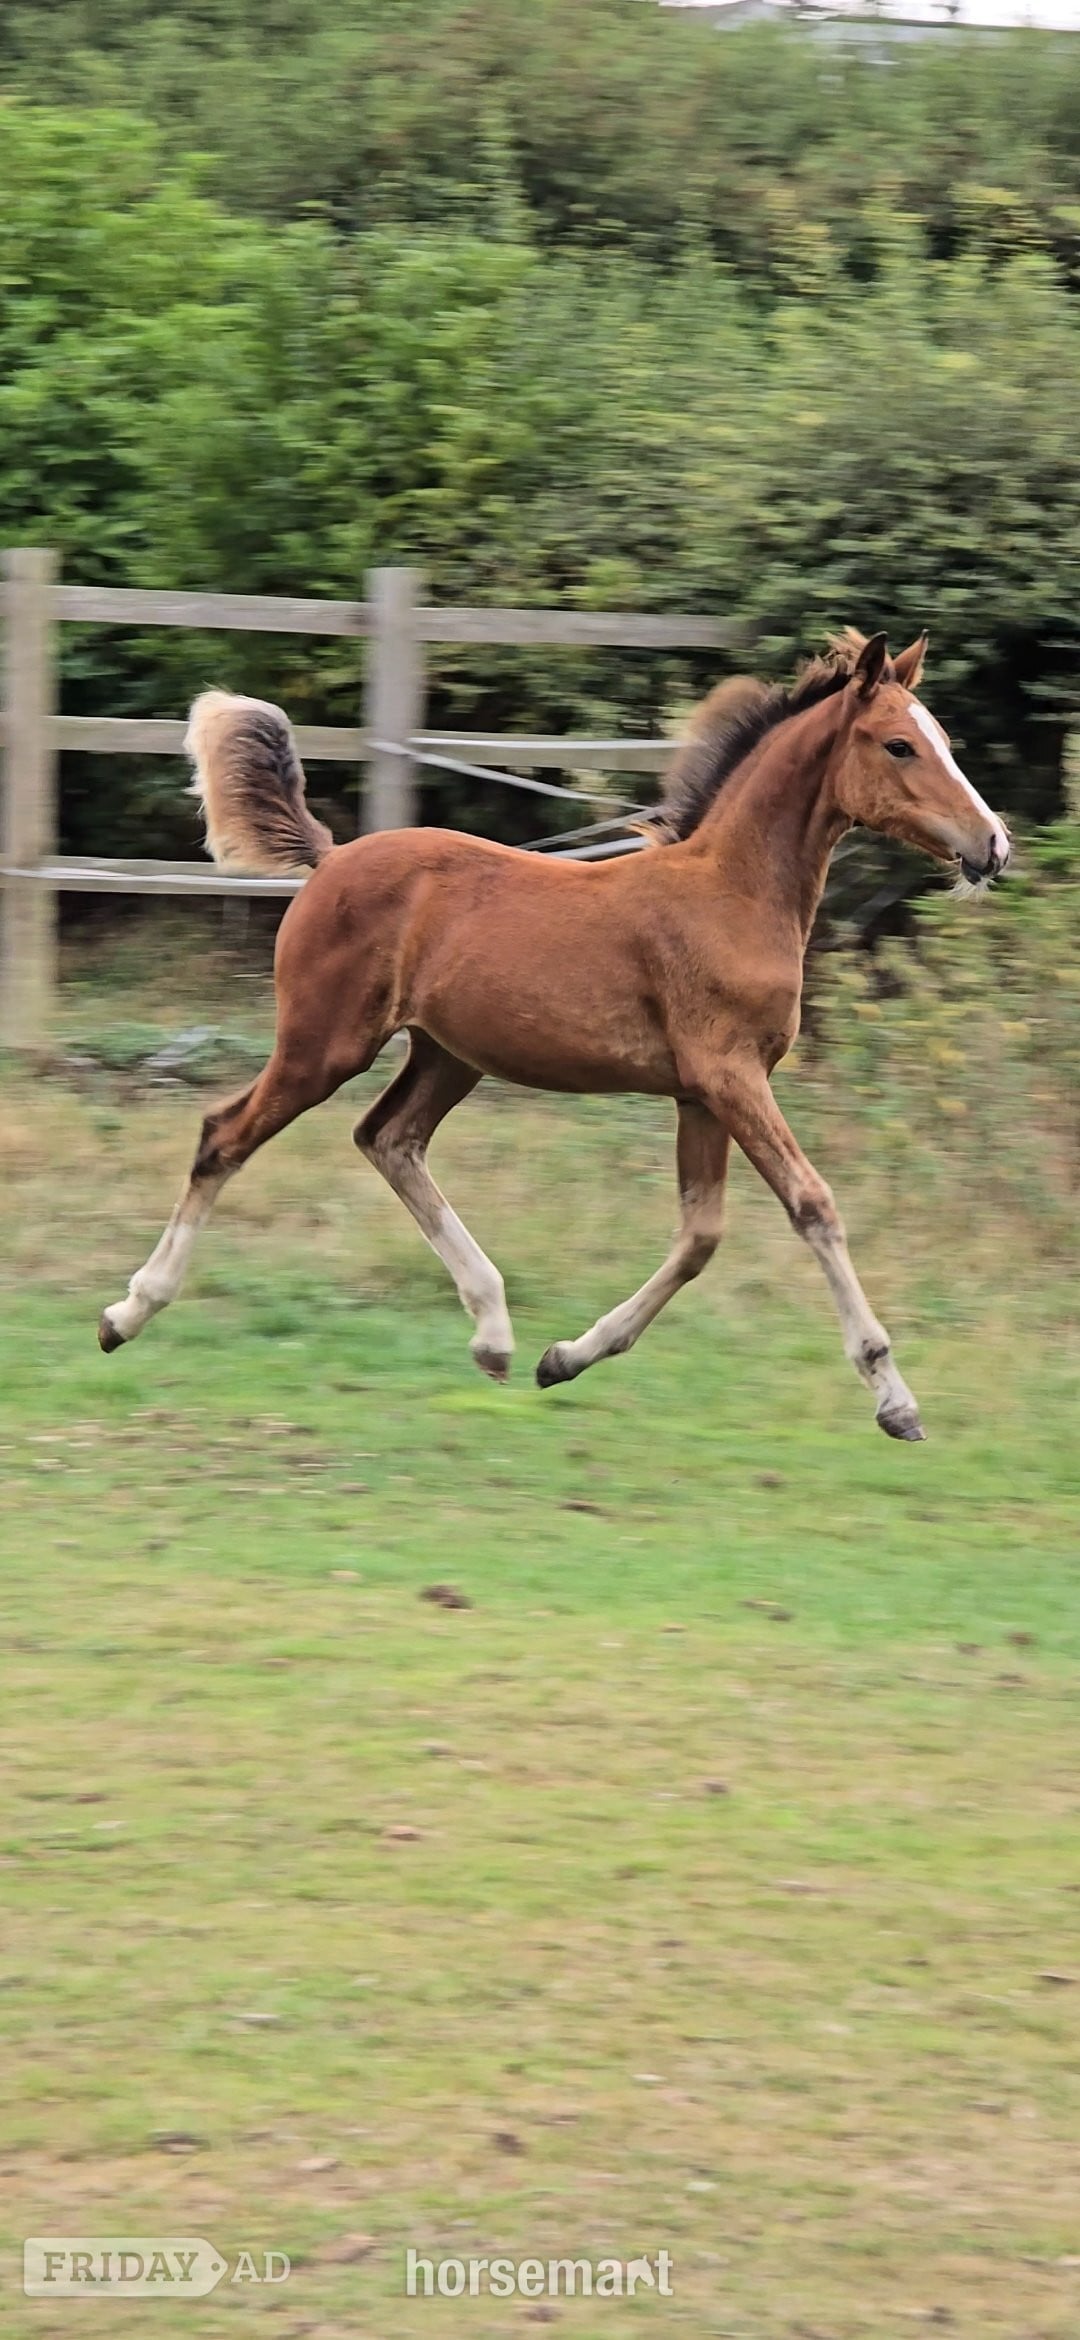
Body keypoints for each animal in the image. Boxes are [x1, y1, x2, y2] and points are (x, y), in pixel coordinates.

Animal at [98, 628, 1009, 1440]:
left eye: (943, 739)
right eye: (899, 744)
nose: (992, 845)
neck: (732, 893)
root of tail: (331, 858)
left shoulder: (702, 1093)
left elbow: (700, 1234)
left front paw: (564, 1357)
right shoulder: (729, 1076)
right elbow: (813, 1205)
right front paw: (895, 1400)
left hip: (448, 1056)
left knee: (389, 1138)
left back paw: (495, 1336)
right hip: (324, 1045)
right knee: (227, 1134)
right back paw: (127, 1312)